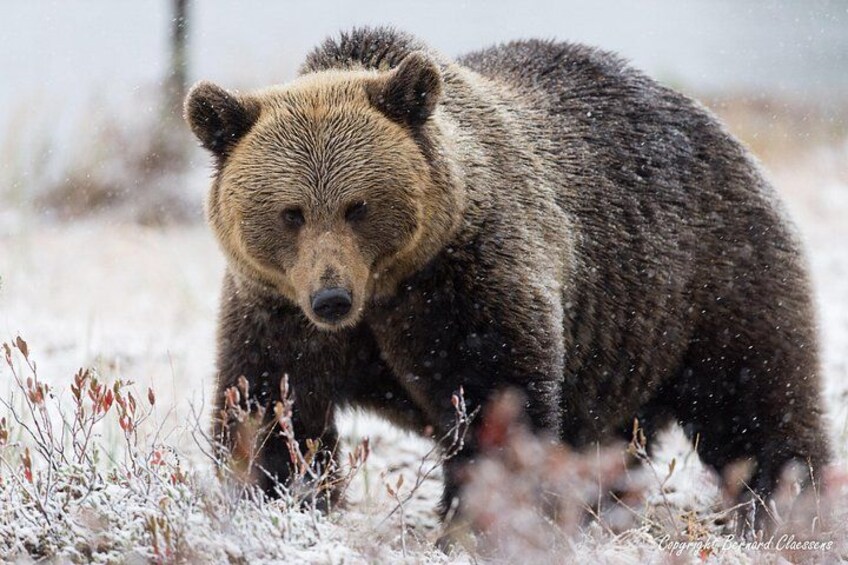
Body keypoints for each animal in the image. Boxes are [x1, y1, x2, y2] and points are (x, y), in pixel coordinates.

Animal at [184, 27, 829, 533]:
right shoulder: (275, 307)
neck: (388, 288)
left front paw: (476, 518)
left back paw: (790, 506)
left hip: (712, 279)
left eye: (357, 206)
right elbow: (269, 406)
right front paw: (275, 498)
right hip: (629, 340)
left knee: (758, 401)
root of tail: (721, 131)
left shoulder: (465, 283)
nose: (332, 297)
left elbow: (497, 397)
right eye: (291, 212)